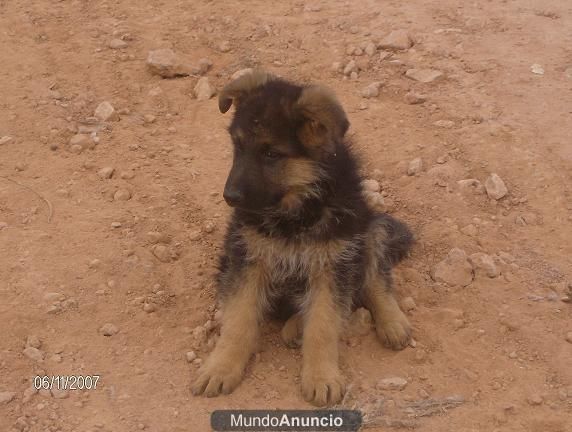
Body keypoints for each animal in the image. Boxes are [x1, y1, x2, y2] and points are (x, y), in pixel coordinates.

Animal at [190, 69, 414, 406]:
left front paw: (321, 377)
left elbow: (323, 324)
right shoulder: (248, 257)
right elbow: (238, 320)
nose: (230, 197)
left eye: (271, 153)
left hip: (368, 228)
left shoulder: (334, 263)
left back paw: (392, 322)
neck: (294, 211)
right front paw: (221, 367)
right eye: (238, 146)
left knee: (375, 278)